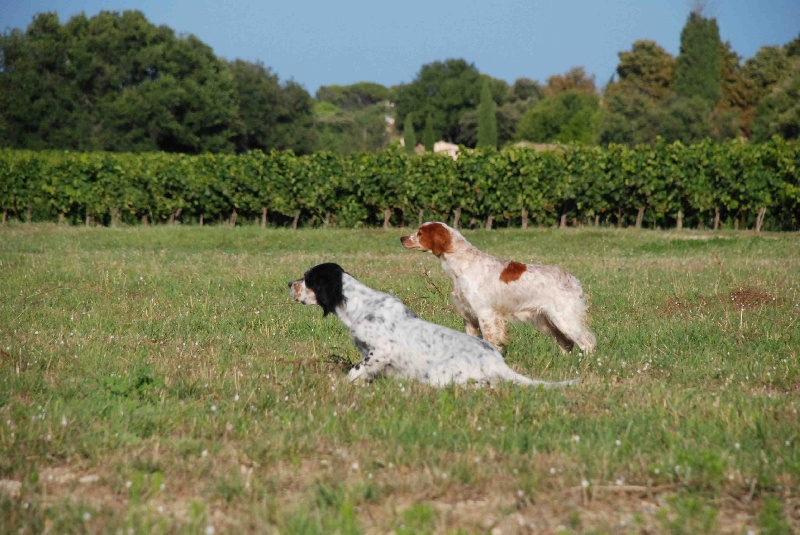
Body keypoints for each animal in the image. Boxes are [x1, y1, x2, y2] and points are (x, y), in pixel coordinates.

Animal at [290, 264, 580, 388]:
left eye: (307, 279)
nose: (288, 284)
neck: (359, 304)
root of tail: (498, 362)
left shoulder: (382, 350)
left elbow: (355, 371)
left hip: (438, 373)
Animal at [400, 223, 592, 356]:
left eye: (419, 233)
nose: (401, 238)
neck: (463, 263)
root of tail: (571, 279)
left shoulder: (485, 314)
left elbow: (490, 341)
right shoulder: (468, 316)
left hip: (564, 319)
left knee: (587, 342)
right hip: (548, 321)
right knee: (567, 344)